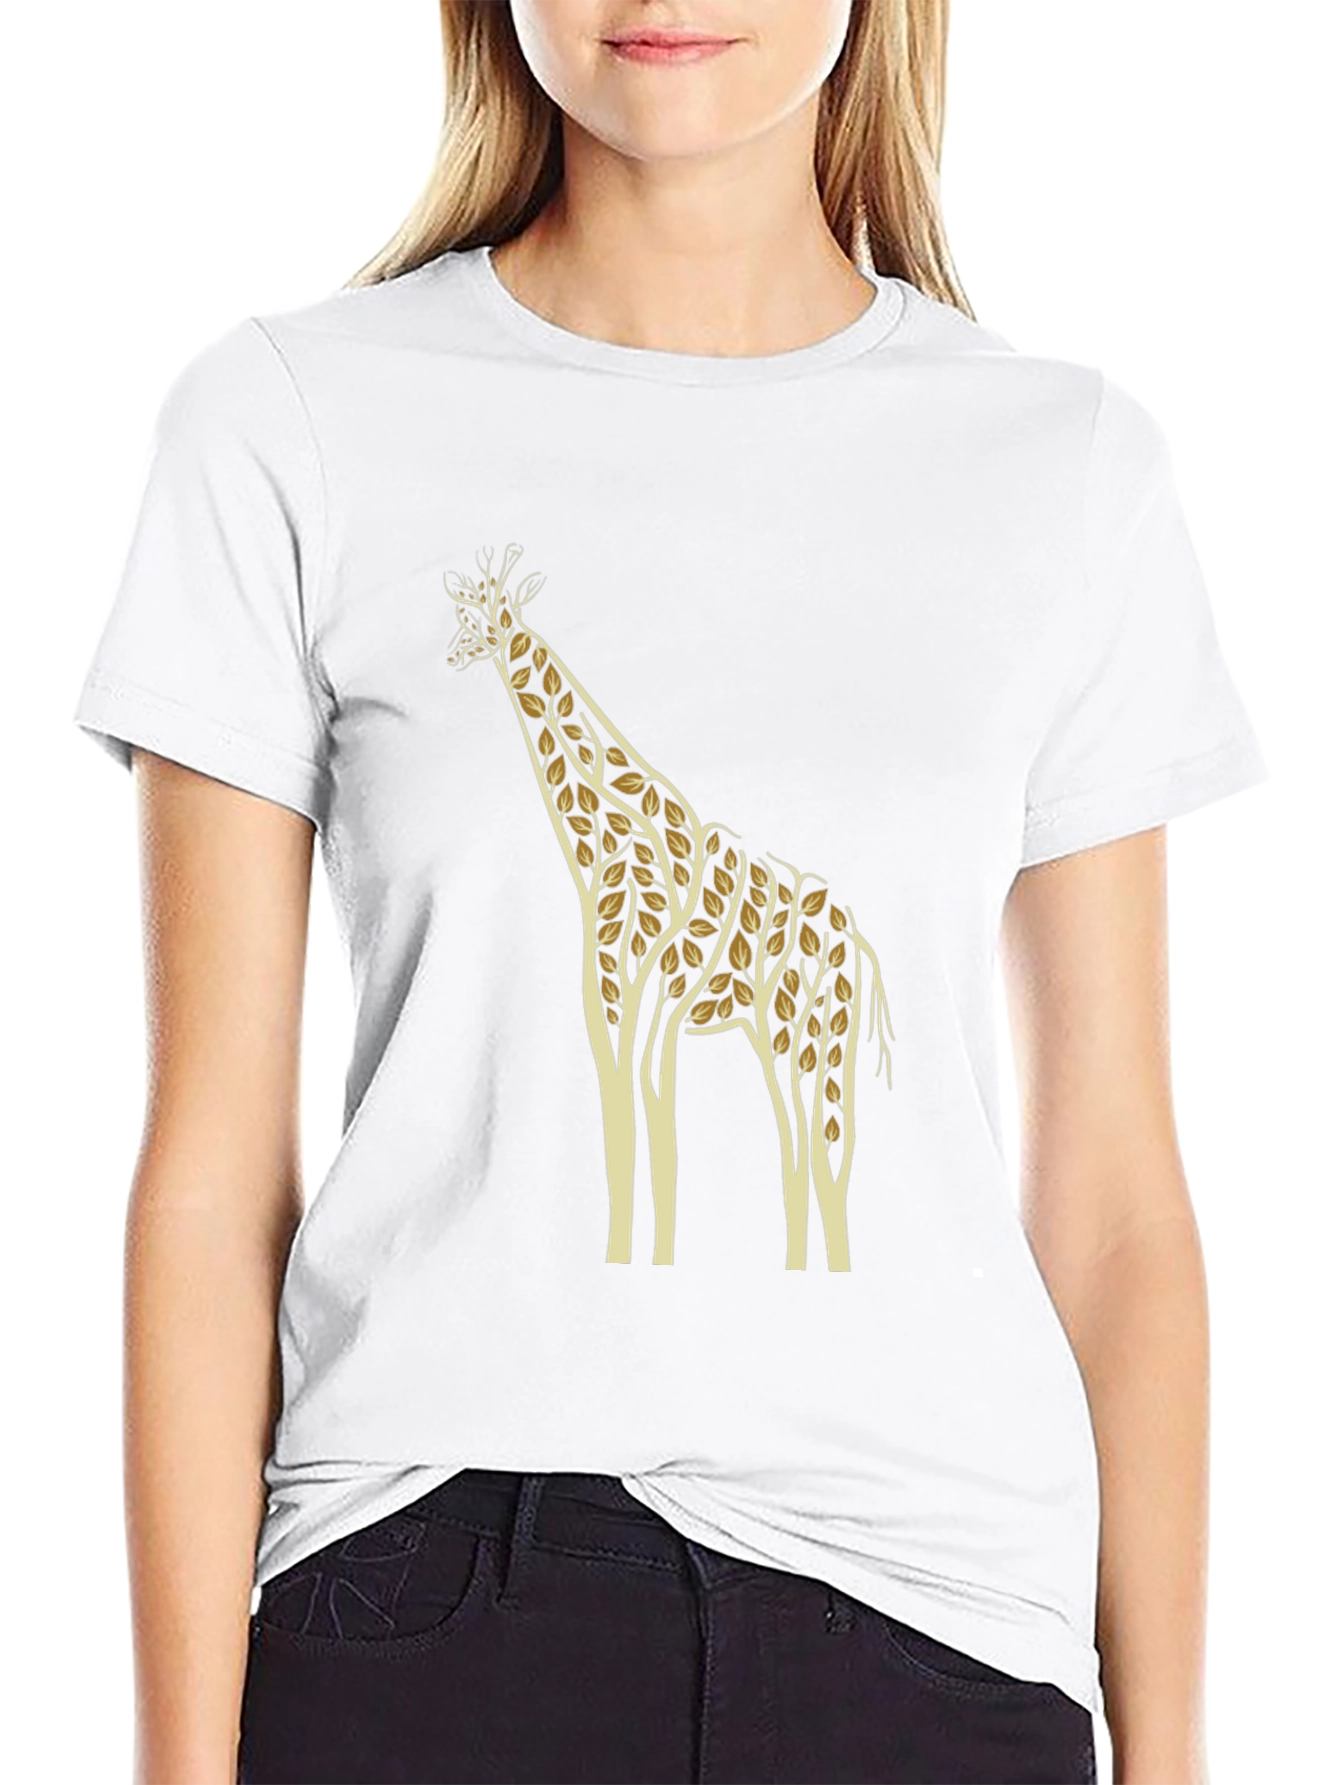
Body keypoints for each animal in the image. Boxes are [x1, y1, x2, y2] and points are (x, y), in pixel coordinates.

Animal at [444, 543, 894, 1271]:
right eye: (463, 613)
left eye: (493, 617)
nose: (452, 654)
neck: (609, 842)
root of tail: (860, 946)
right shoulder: (622, 1001)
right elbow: (636, 1122)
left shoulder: (641, 996)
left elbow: (644, 1126)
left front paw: (638, 1255)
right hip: (787, 1037)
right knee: (804, 1151)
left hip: (810, 1034)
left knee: (824, 1150)